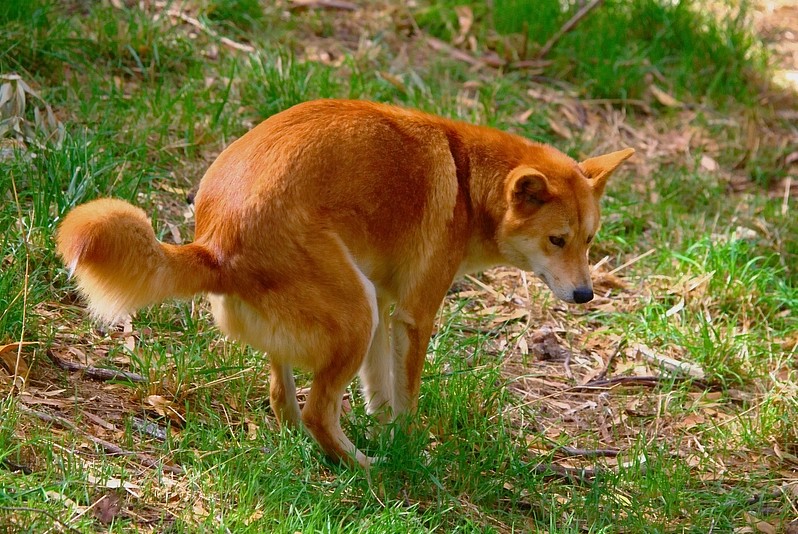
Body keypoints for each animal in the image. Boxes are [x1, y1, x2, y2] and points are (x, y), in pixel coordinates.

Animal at [56, 99, 636, 468]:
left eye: (589, 240)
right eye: (558, 240)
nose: (586, 295)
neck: (469, 180)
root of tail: (215, 244)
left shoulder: (386, 308)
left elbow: (380, 394)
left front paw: (393, 439)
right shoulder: (413, 315)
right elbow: (405, 397)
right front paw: (409, 452)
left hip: (352, 313)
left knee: (282, 398)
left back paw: (312, 449)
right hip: (358, 315)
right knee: (317, 411)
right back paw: (368, 469)